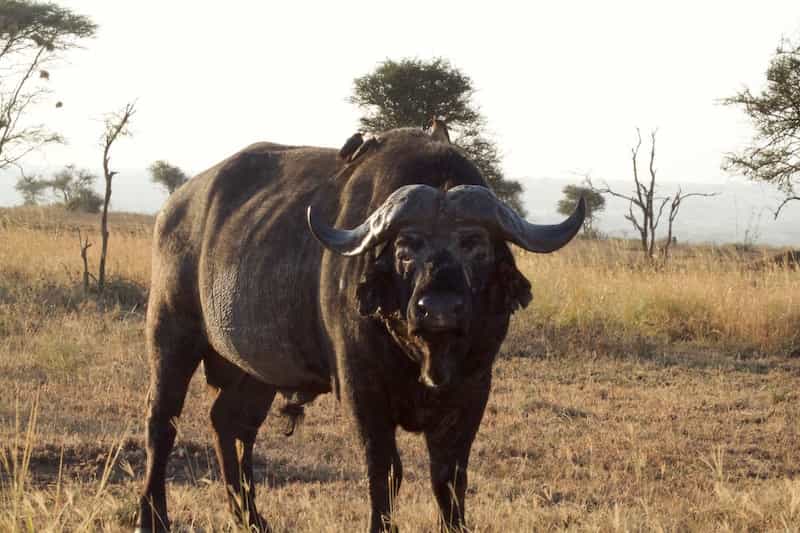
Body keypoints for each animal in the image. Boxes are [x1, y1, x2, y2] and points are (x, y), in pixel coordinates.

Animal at [135, 125, 585, 532]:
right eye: (406, 249)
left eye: (475, 245)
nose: (439, 309)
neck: (423, 356)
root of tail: (175, 206)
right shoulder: (361, 389)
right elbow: (385, 472)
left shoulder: (473, 389)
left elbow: (449, 478)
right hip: (170, 333)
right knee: (162, 424)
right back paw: (152, 517)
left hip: (256, 371)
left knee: (230, 423)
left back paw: (251, 518)